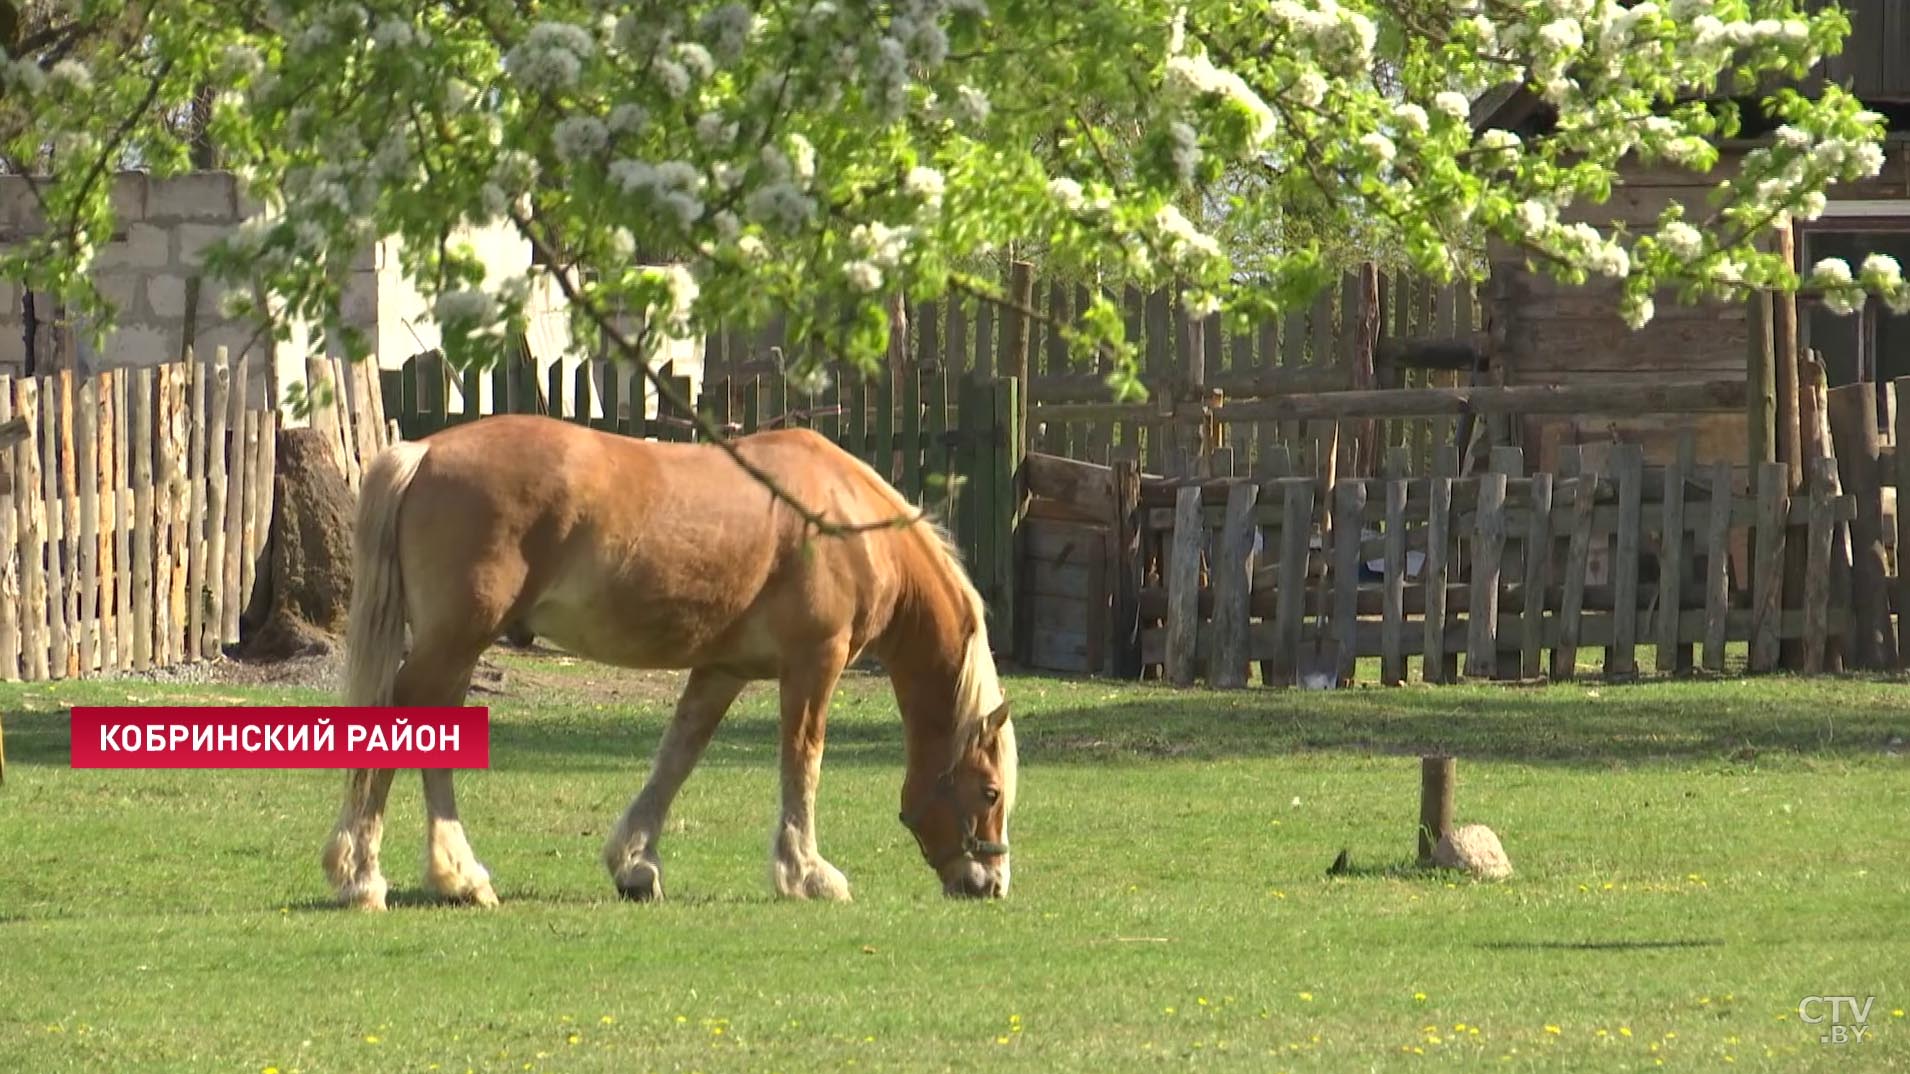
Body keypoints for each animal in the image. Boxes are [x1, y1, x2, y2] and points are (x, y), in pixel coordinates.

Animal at [320, 408, 1023, 902]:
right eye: (989, 792)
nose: (990, 884)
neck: (844, 520)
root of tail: (425, 451)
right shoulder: (814, 664)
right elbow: (803, 762)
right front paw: (807, 874)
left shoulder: (721, 671)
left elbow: (677, 757)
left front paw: (634, 864)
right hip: (456, 640)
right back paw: (386, 876)